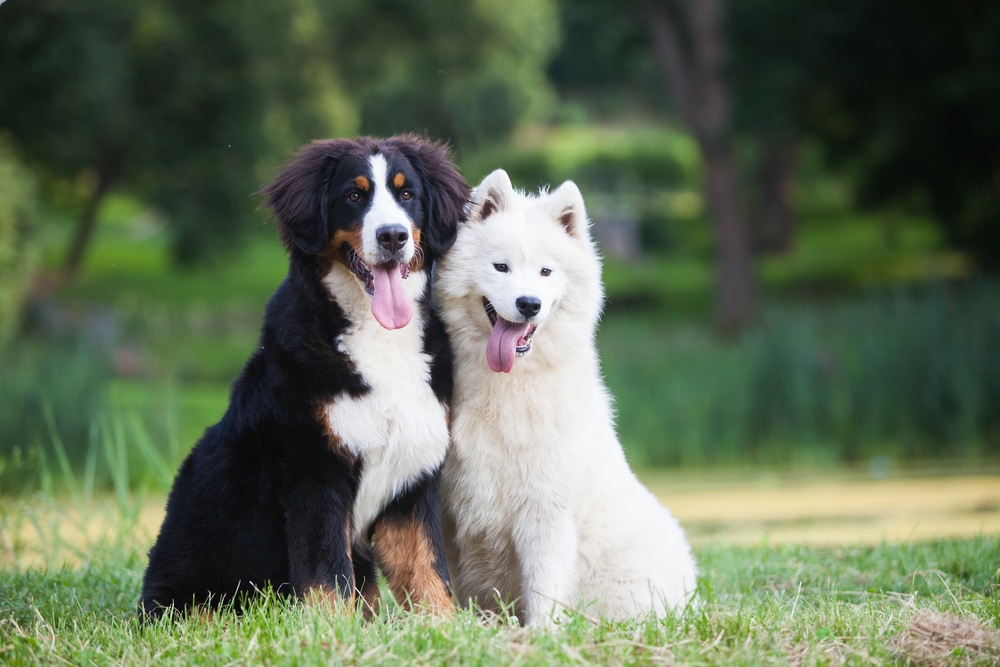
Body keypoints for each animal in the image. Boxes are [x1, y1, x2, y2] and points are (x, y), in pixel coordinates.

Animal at [139, 136, 470, 620]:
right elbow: (327, 573)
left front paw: (445, 628)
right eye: (353, 196)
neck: (378, 336)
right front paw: (331, 630)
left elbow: (428, 571)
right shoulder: (314, 469)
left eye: (407, 194)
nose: (393, 235)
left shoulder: (413, 475)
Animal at [434, 168, 700, 628]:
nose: (528, 304)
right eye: (501, 266)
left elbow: (544, 584)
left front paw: (541, 634)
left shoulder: (546, 512)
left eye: (546, 271)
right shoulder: (453, 511)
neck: (509, 384)